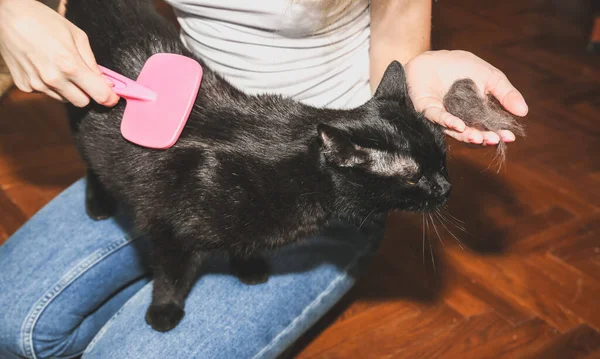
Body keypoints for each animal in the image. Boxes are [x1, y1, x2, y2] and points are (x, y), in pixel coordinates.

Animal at [64, 0, 450, 334]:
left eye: (443, 156)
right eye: (414, 177)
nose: (445, 188)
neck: (299, 170)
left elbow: (246, 242)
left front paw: (247, 267)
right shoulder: (168, 231)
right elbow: (171, 276)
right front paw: (164, 311)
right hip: (81, 117)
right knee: (91, 162)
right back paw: (98, 204)